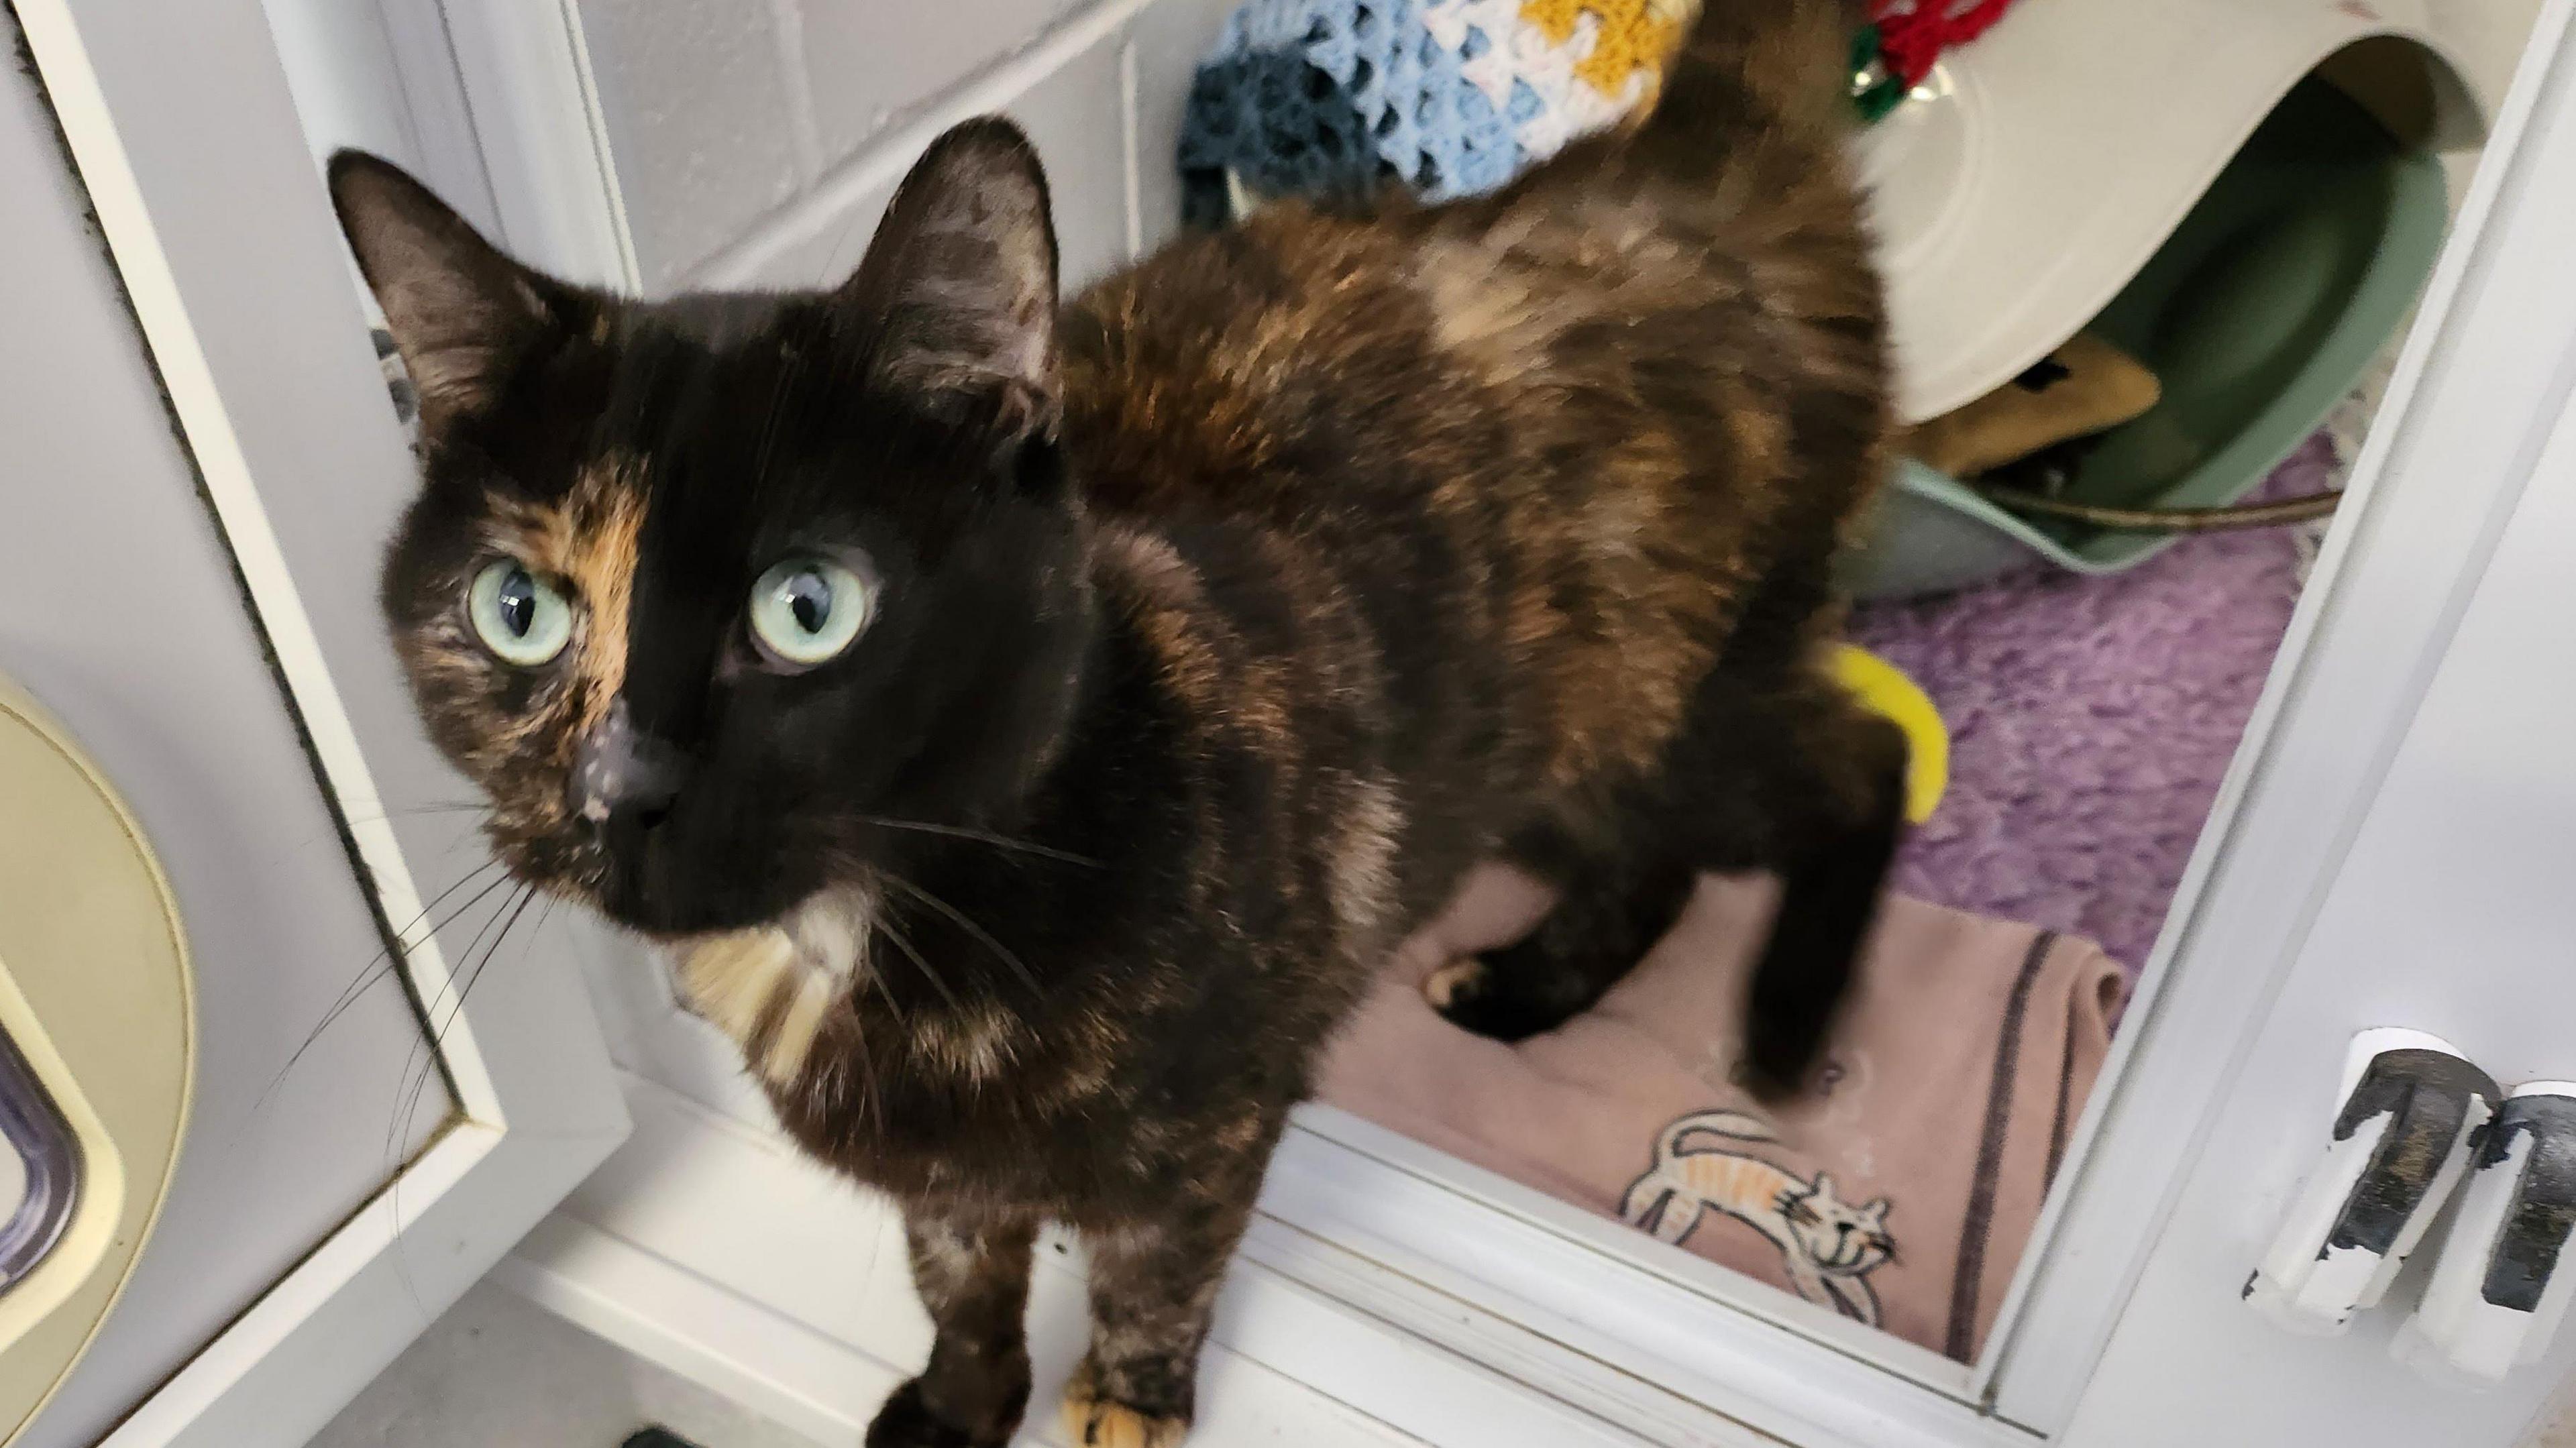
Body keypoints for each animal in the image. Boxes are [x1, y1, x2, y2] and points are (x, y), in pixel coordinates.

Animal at [337, 5, 1916, 1432]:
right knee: (1659, 862)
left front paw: (1127, 1401)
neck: (878, 928)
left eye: (808, 606)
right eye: (519, 608)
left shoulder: (1213, 1122)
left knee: (1859, 765)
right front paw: (958, 1401)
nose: (621, 787)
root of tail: (1676, 159)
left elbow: (1158, 1270)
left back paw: (1779, 1027)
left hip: (1673, 705)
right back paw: (1522, 990)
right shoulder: (943, 1176)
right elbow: (956, 1271)